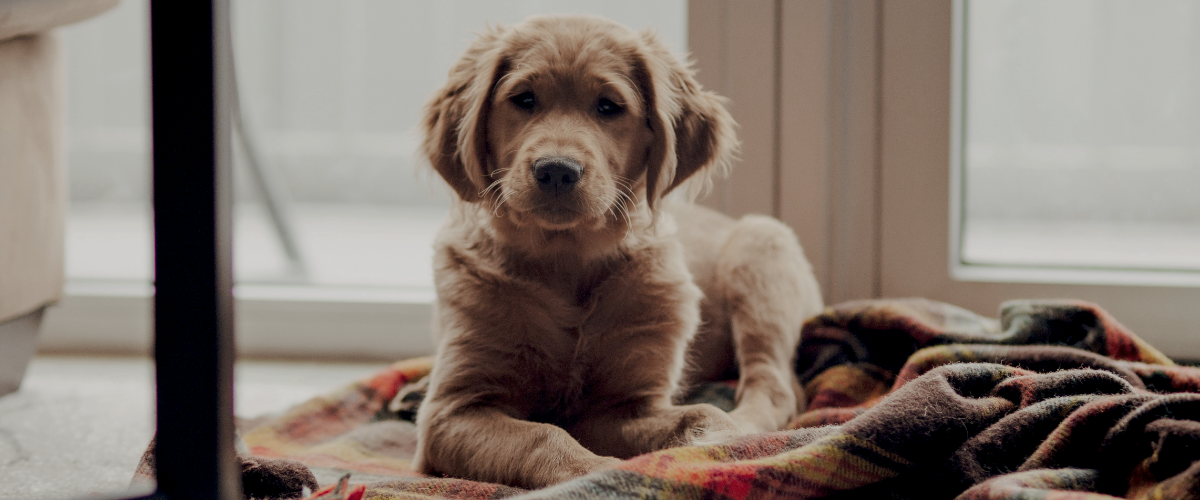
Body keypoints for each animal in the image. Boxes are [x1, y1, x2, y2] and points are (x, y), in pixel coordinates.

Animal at [403, 14, 825, 486]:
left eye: (608, 107)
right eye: (523, 99)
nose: (556, 170)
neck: (566, 260)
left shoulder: (624, 405)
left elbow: (700, 413)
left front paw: (719, 441)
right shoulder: (453, 410)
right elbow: (541, 435)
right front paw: (595, 471)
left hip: (762, 251)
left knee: (777, 385)